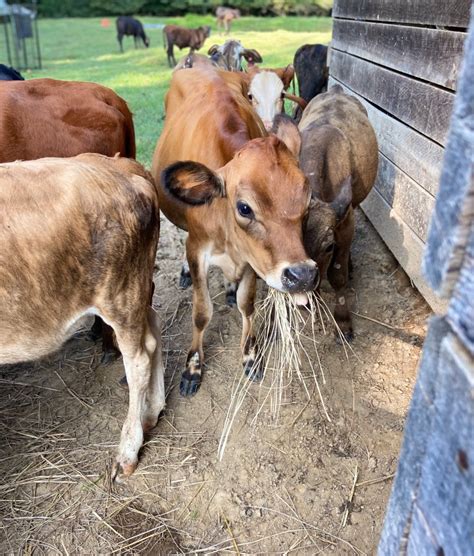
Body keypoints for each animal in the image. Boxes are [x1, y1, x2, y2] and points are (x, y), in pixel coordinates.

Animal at [0, 154, 164, 480]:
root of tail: (124, 166)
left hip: (121, 294)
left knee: (139, 360)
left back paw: (127, 451)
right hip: (137, 291)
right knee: (153, 329)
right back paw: (151, 413)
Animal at [151, 66, 314, 396]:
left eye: (308, 201)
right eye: (244, 208)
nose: (302, 275)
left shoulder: (255, 257)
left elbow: (246, 305)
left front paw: (250, 356)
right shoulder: (197, 248)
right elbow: (202, 312)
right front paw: (193, 366)